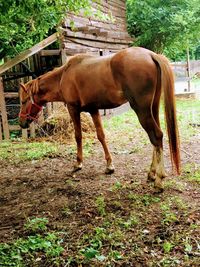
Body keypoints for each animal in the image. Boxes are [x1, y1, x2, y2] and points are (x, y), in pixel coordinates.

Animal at [19, 46, 180, 193]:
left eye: (23, 101)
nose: (21, 123)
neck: (63, 75)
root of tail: (151, 55)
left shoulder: (73, 109)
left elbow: (78, 136)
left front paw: (78, 163)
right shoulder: (93, 110)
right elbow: (101, 136)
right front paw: (109, 165)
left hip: (142, 110)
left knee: (156, 136)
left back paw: (159, 179)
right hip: (153, 108)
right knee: (156, 140)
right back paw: (151, 174)